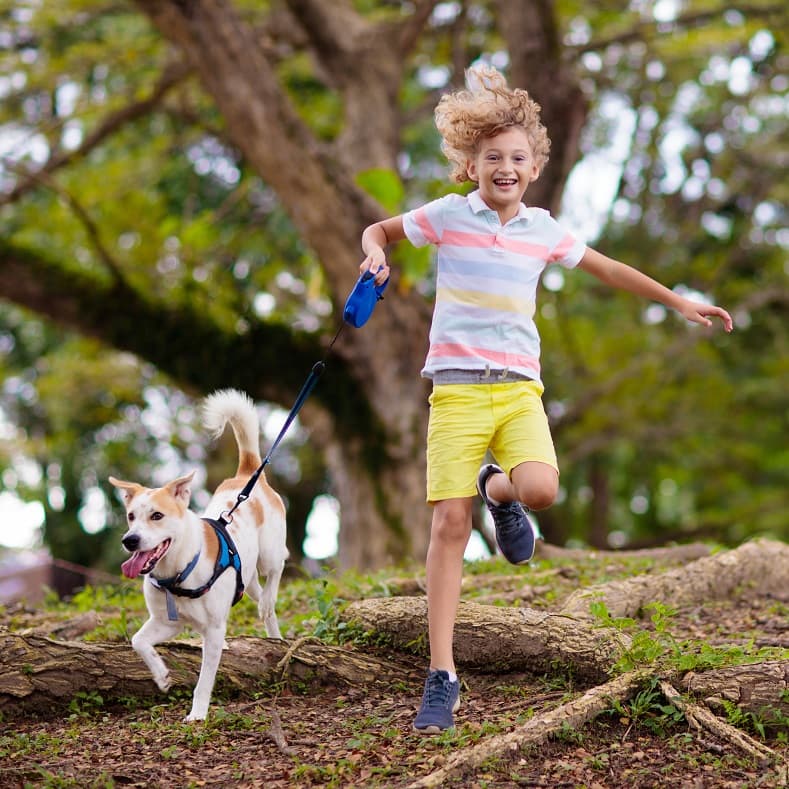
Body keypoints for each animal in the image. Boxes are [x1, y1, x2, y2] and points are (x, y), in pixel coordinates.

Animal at [107, 388, 286, 720]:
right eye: (130, 516)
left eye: (157, 516)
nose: (130, 541)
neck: (177, 571)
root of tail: (247, 474)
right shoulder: (166, 622)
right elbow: (138, 642)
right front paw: (161, 675)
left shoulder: (212, 630)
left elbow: (204, 681)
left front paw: (198, 714)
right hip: (246, 580)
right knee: (261, 599)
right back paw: (275, 635)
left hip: (270, 552)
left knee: (277, 569)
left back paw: (269, 600)